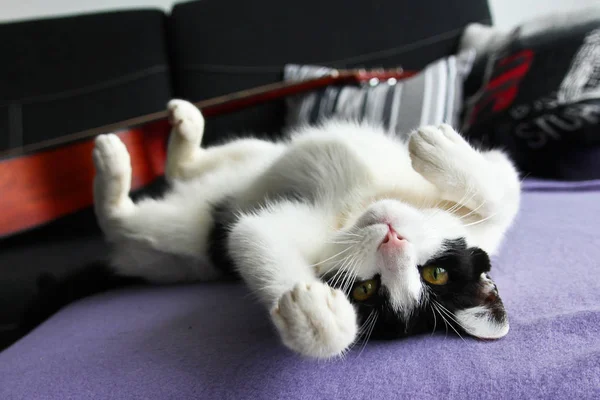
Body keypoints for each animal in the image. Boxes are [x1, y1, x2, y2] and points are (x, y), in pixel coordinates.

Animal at [92, 99, 520, 360]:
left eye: (364, 290)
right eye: (437, 273)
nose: (393, 239)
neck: (361, 205)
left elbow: (250, 234)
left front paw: (316, 318)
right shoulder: (491, 208)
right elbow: (505, 191)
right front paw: (437, 147)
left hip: (185, 231)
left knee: (123, 220)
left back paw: (112, 166)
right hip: (255, 157)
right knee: (216, 160)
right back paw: (178, 124)